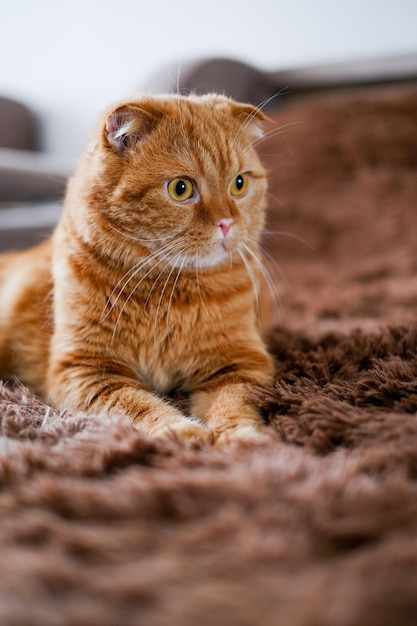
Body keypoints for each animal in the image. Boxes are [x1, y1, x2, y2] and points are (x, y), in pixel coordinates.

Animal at [0, 94, 272, 444]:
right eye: (181, 189)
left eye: (239, 184)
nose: (226, 223)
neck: (168, 291)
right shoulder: (86, 371)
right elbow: (136, 404)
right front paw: (179, 430)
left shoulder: (238, 364)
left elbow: (235, 403)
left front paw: (243, 438)